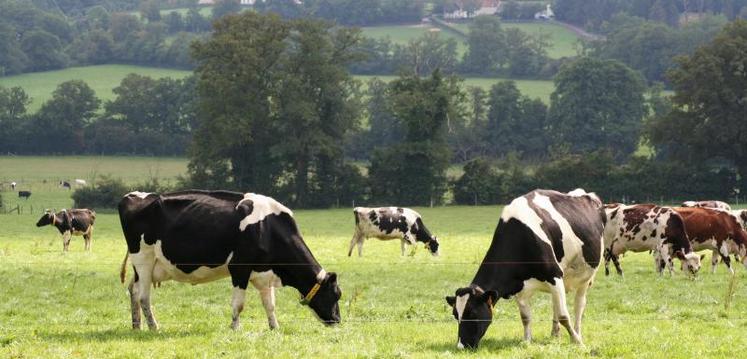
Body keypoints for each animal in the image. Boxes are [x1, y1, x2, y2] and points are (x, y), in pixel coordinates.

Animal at [118, 191, 340, 332]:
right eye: (335, 294)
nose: (337, 320)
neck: (267, 229)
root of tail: (132, 196)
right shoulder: (239, 268)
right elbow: (239, 304)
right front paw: (235, 327)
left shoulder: (264, 273)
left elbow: (270, 304)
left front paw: (274, 327)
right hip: (144, 260)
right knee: (144, 297)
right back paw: (153, 326)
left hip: (147, 268)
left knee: (133, 290)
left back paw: (136, 325)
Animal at [448, 190, 604, 350]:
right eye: (455, 314)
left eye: (472, 314)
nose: (461, 346)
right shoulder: (519, 285)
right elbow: (526, 317)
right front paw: (527, 341)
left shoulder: (554, 275)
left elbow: (564, 316)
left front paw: (577, 341)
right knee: (556, 304)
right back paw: (555, 334)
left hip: (586, 277)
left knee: (579, 305)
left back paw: (578, 333)